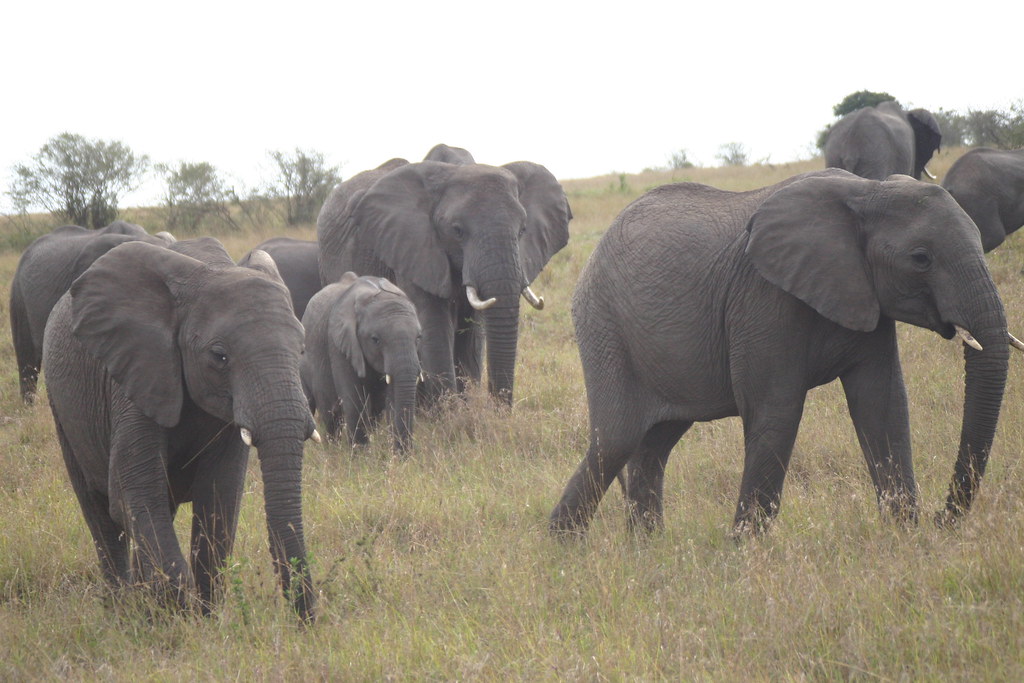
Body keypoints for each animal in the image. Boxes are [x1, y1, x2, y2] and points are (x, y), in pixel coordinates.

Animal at [43, 241, 319, 622]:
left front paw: (205, 619)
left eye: (302, 349)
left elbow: (219, 500)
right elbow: (131, 494)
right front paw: (181, 618)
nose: (307, 623)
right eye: (219, 356)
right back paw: (122, 611)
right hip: (62, 408)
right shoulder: (136, 376)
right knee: (100, 516)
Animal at [301, 272, 422, 452]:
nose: (404, 455)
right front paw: (361, 455)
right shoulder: (338, 344)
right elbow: (354, 399)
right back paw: (332, 451)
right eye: (375, 340)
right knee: (327, 411)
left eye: (419, 338)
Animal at [317, 159, 571, 405]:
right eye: (457, 231)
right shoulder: (414, 248)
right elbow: (434, 326)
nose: (498, 411)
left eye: (523, 230)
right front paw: (451, 414)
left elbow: (473, 333)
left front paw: (466, 410)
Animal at [549, 169, 1010, 538]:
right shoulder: (763, 296)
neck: (868, 190)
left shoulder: (866, 298)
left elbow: (883, 404)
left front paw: (905, 539)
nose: (941, 519)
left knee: (654, 443)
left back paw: (648, 549)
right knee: (616, 439)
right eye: (920, 258)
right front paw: (746, 553)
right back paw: (564, 549)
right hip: (604, 326)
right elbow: (777, 410)